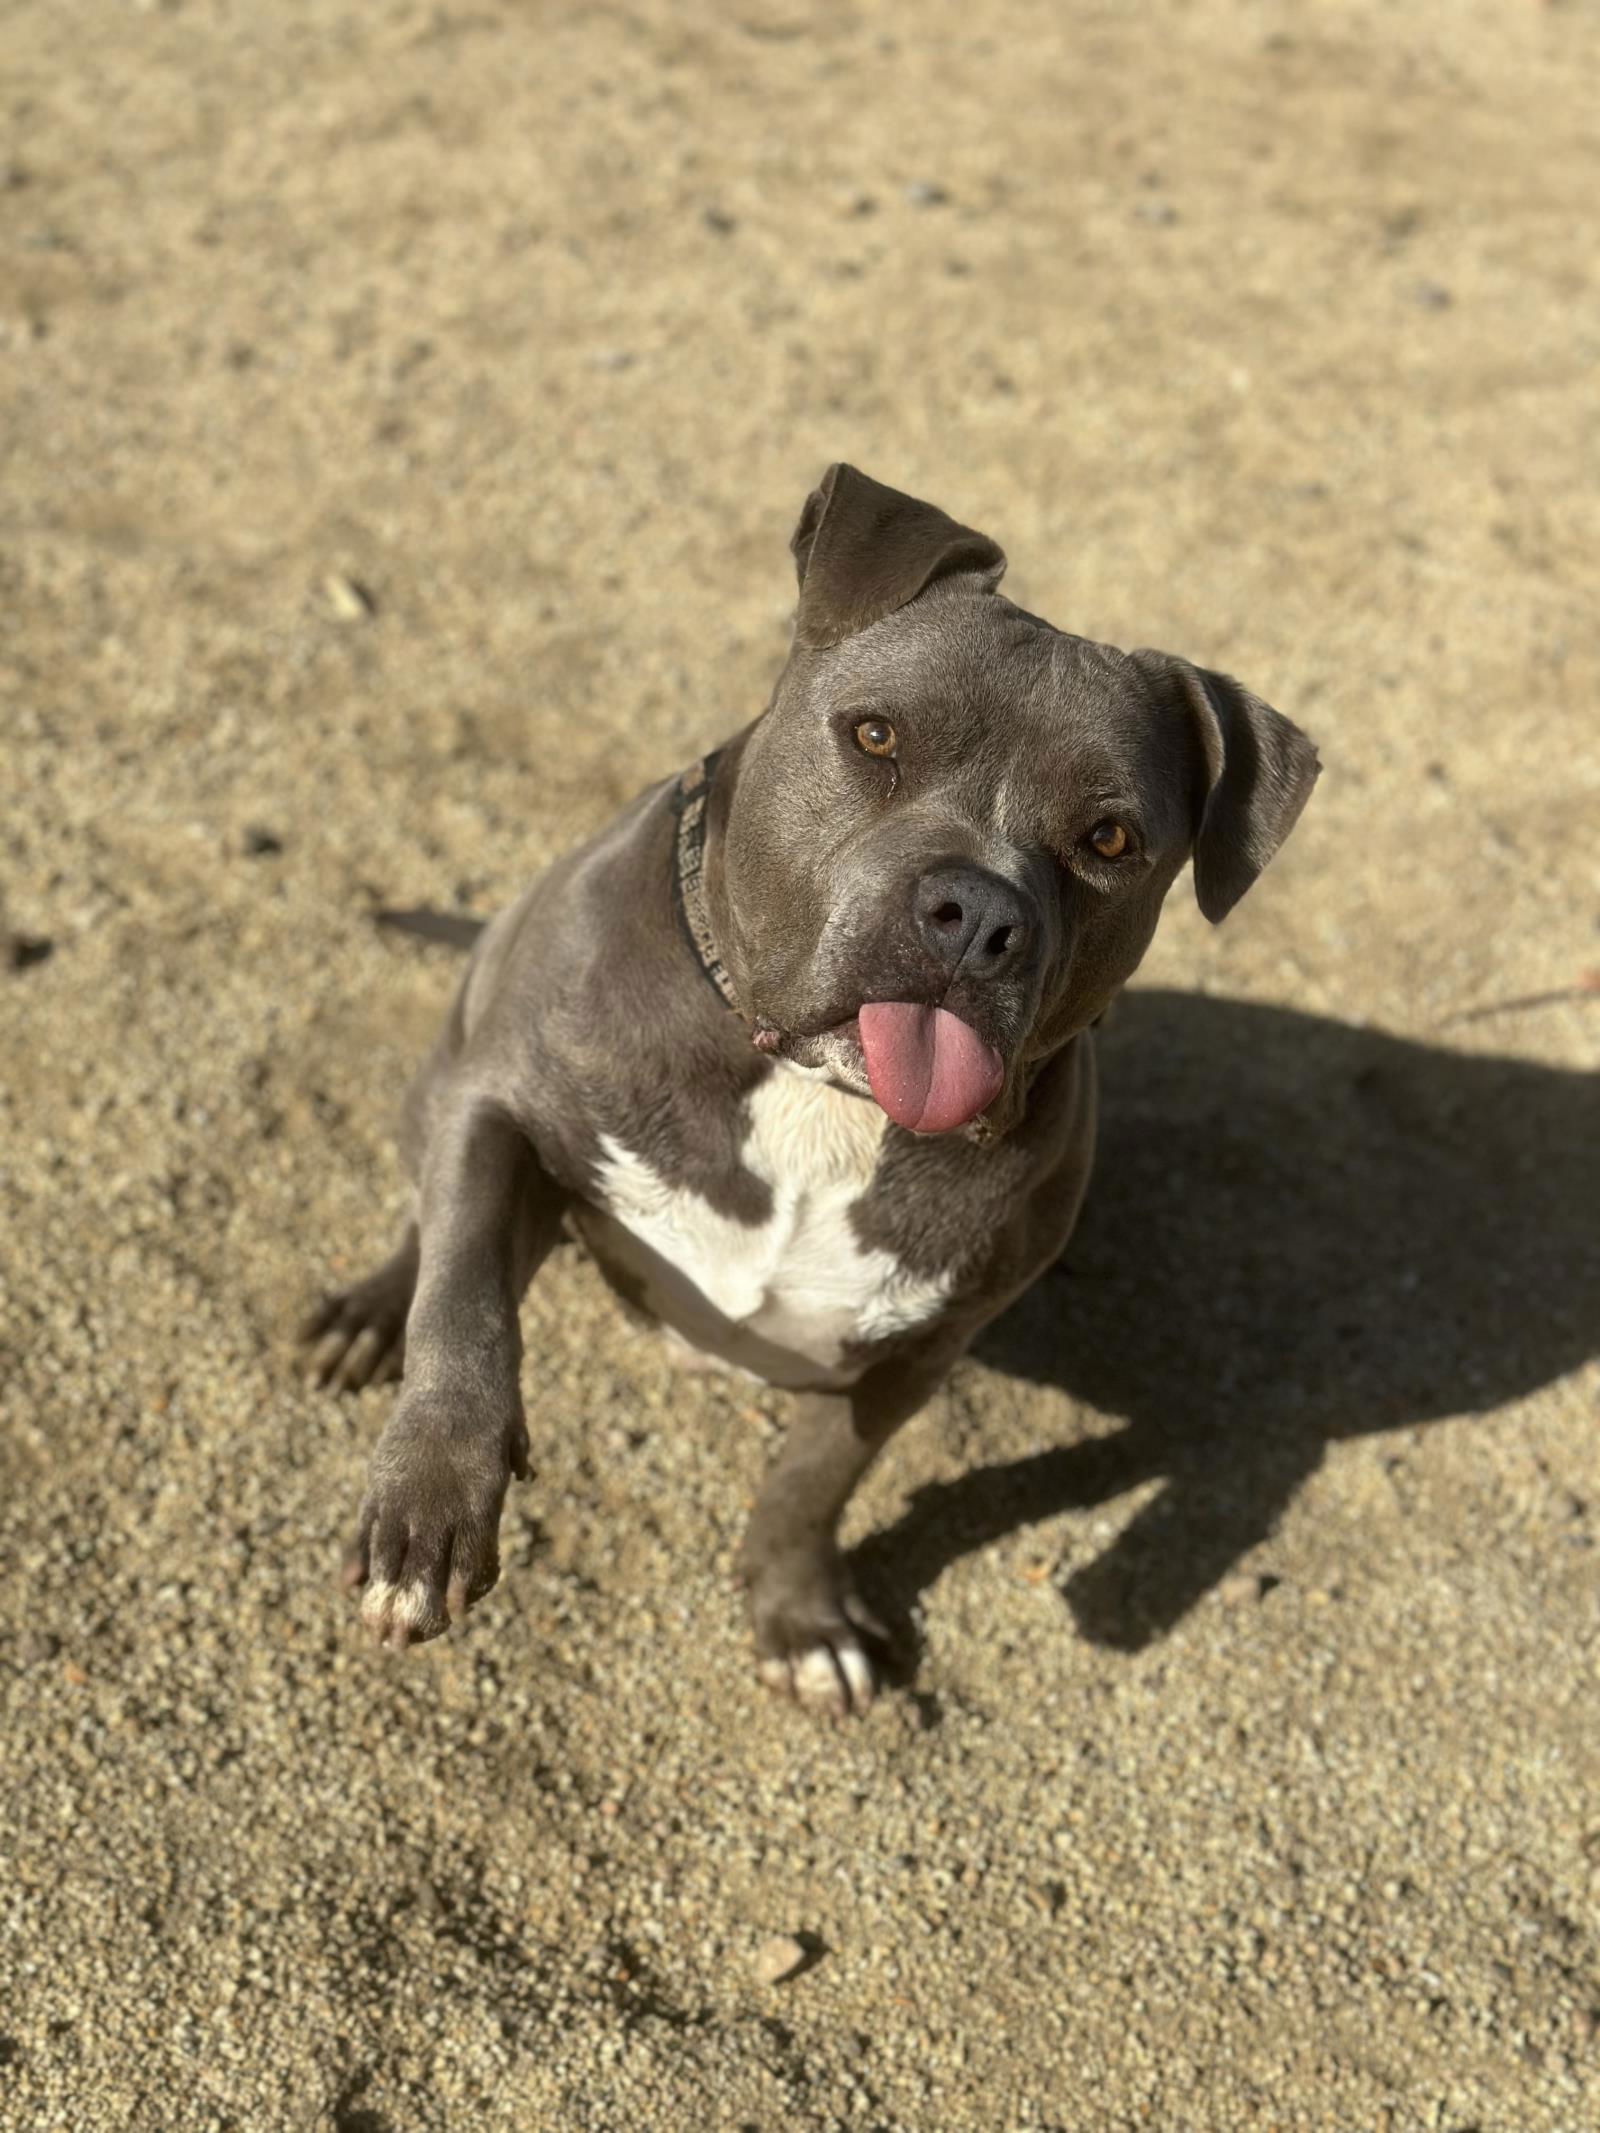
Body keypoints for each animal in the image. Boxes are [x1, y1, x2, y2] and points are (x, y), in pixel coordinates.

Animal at [302, 462, 1331, 1714]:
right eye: (875, 736)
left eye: (1109, 839)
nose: (976, 913)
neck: (818, 1093)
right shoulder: (505, 1107)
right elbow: (464, 1303)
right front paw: (432, 1501)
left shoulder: (916, 1348)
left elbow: (815, 1478)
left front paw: (800, 1615)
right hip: (447, 1065)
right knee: (426, 1220)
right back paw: (364, 1318)